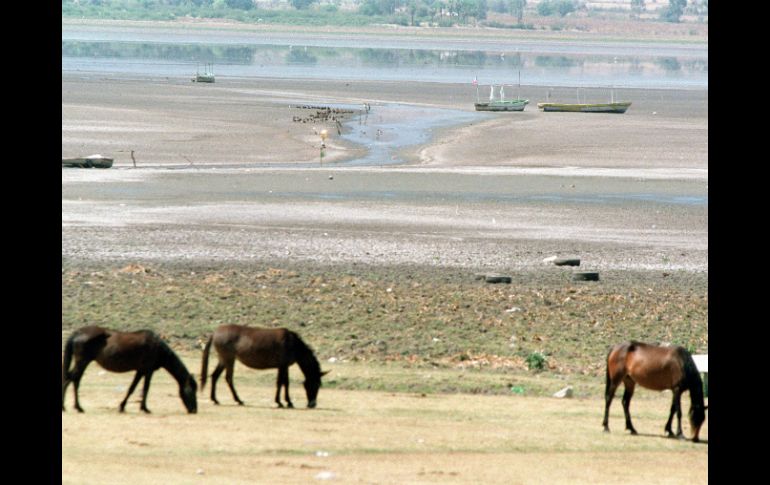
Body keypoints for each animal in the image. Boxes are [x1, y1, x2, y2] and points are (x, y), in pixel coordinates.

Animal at [61, 326, 196, 412]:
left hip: (83, 363)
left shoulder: (140, 371)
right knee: (70, 379)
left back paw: (77, 407)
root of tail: (78, 333)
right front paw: (145, 408)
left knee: (74, 380)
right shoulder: (148, 371)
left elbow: (132, 388)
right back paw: (69, 407)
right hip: (82, 362)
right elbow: (145, 388)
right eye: (192, 390)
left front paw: (122, 406)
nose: (194, 410)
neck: (157, 347)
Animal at [198, 326, 328, 408]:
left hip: (223, 360)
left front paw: (285, 402)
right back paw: (238, 400)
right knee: (228, 378)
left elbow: (283, 382)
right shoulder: (283, 365)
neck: (293, 343)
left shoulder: (283, 366)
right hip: (229, 359)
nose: (312, 404)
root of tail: (215, 333)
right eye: (316, 384)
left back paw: (215, 400)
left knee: (215, 376)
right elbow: (282, 383)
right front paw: (283, 402)